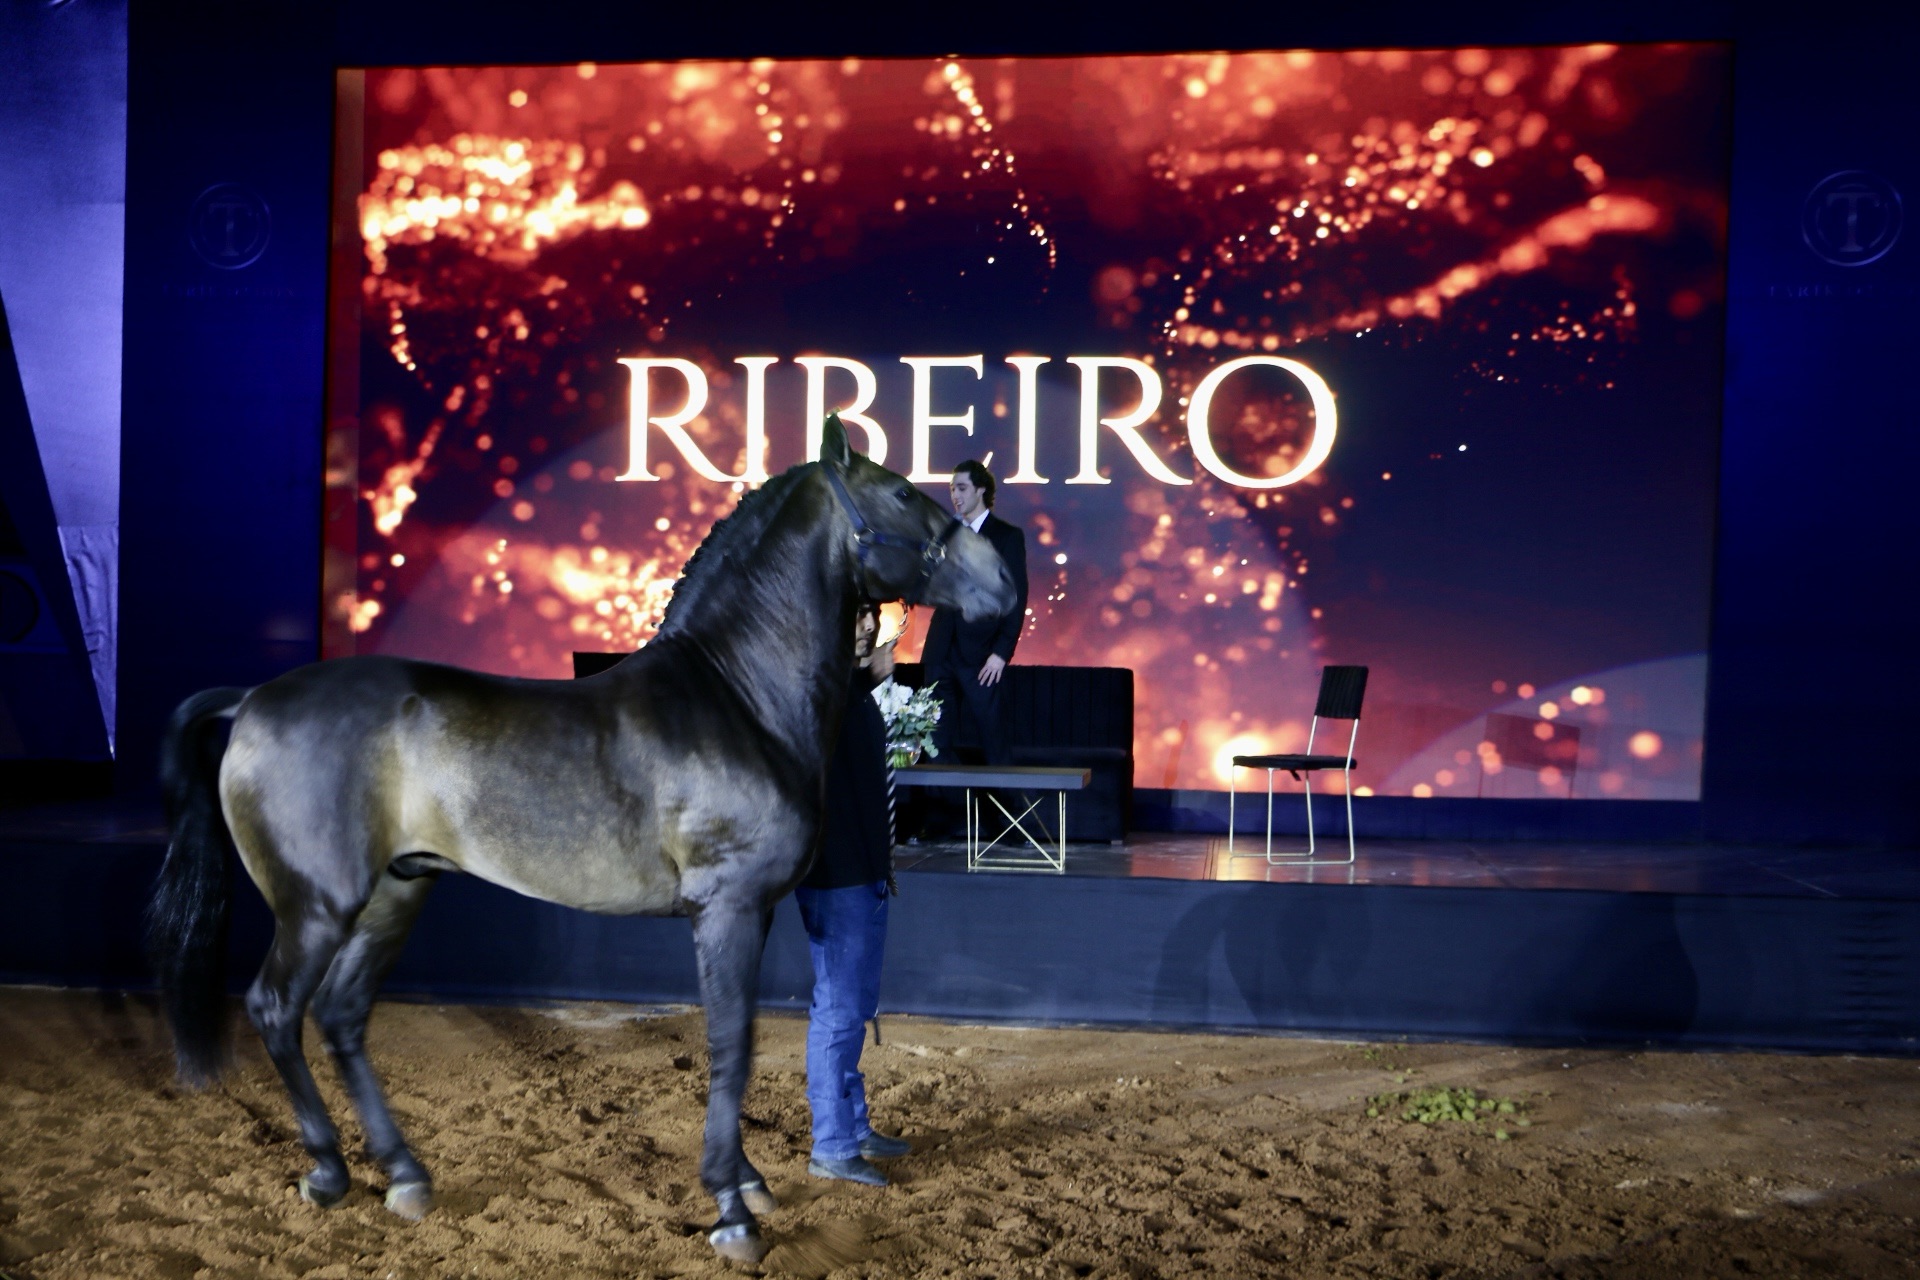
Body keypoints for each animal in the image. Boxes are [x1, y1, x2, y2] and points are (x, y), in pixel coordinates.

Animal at [146, 413, 1016, 1264]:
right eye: (901, 492)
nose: (1007, 583)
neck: (737, 696)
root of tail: (253, 700)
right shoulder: (728, 907)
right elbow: (730, 1045)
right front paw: (733, 1212)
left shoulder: (753, 912)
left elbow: (738, 1040)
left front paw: (747, 1183)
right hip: (318, 906)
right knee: (274, 1010)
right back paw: (328, 1170)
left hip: (397, 892)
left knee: (341, 1015)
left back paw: (405, 1176)